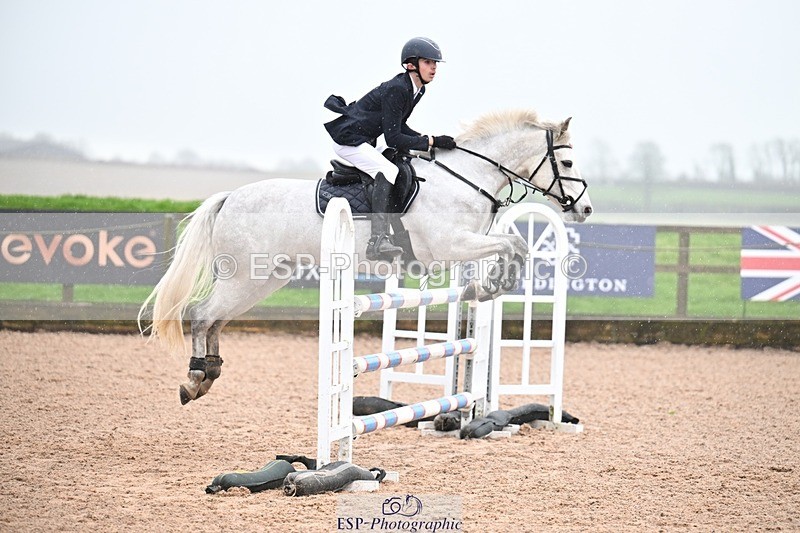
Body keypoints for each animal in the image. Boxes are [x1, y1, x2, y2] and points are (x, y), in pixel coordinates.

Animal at [138, 108, 593, 405]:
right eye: (568, 160)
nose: (585, 209)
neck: (466, 179)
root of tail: (231, 196)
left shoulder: (467, 242)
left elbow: (516, 247)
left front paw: (489, 285)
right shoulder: (450, 245)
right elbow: (511, 246)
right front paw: (490, 285)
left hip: (263, 279)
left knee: (216, 318)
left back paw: (209, 373)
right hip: (245, 278)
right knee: (202, 314)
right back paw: (195, 378)